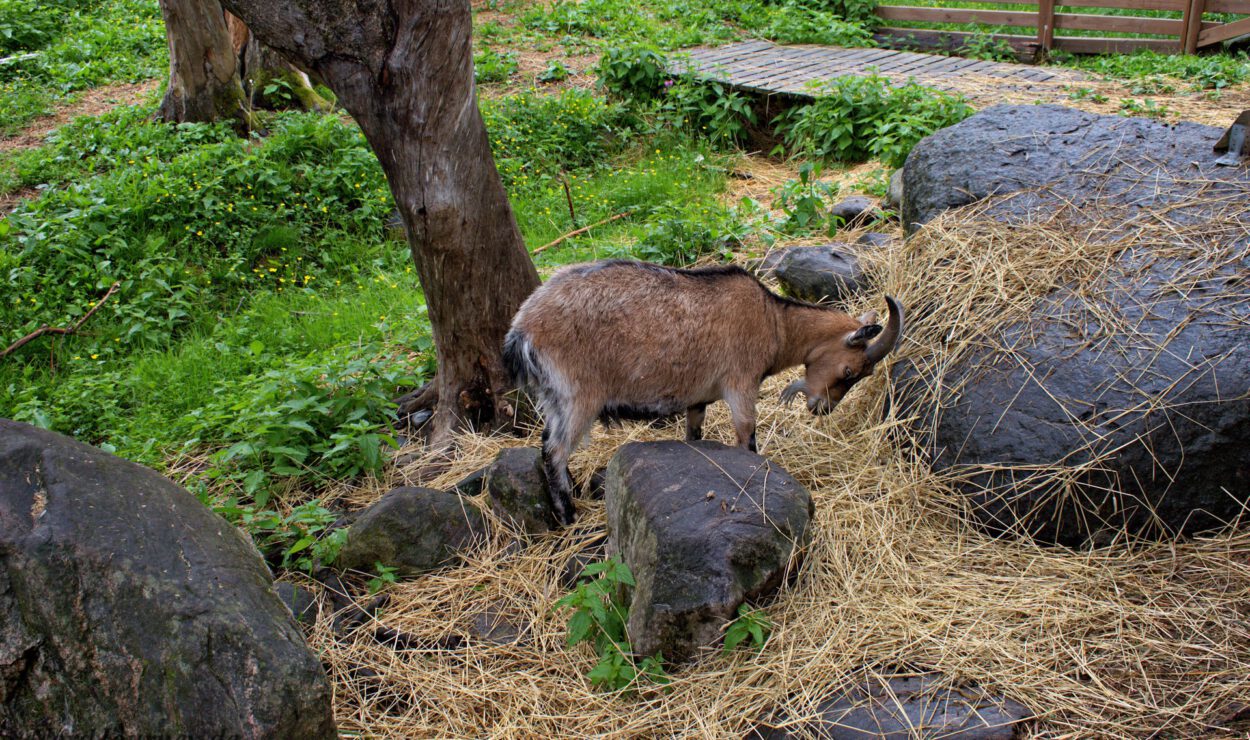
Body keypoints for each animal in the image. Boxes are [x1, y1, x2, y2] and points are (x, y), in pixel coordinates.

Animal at [502, 260, 905, 525]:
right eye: (849, 371)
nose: (822, 408)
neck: (775, 322)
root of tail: (521, 330)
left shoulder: (698, 398)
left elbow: (693, 435)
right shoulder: (741, 384)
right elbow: (747, 438)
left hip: (554, 396)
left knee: (547, 442)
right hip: (578, 396)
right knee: (553, 450)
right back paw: (568, 514)